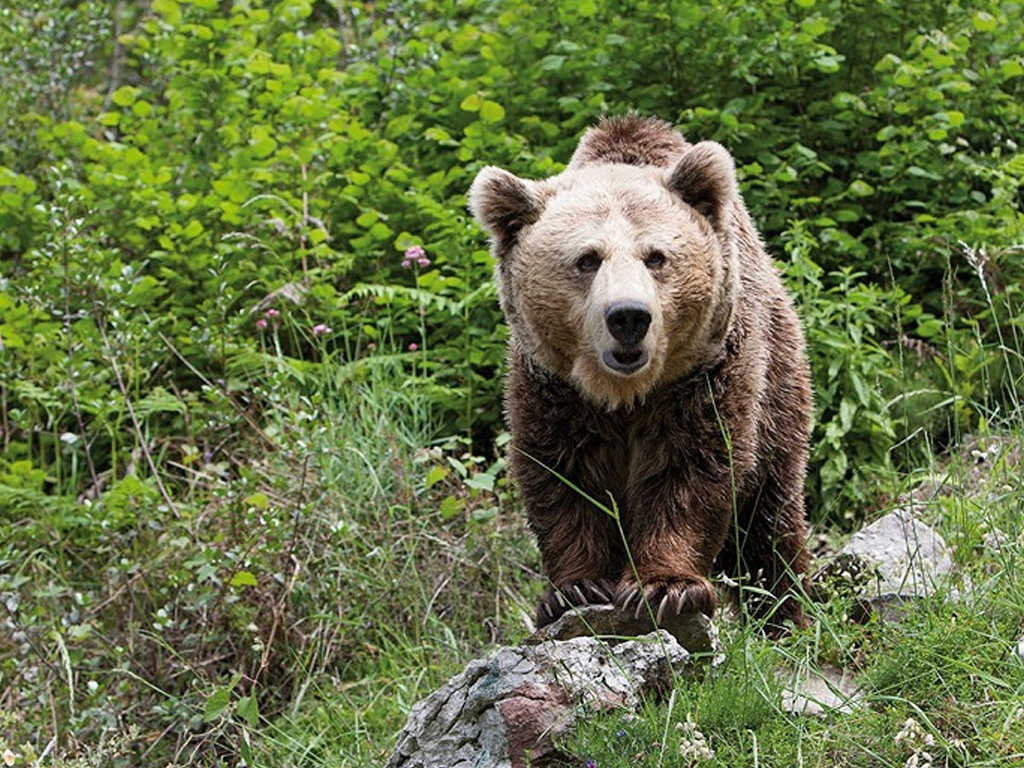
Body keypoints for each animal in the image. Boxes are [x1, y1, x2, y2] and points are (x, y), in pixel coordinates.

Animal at [468, 114, 811, 630]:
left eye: (656, 257)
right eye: (587, 259)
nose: (628, 316)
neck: (625, 393)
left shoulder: (706, 376)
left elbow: (693, 469)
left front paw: (666, 587)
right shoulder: (552, 389)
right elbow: (562, 477)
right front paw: (574, 589)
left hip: (780, 383)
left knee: (769, 522)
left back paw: (785, 614)